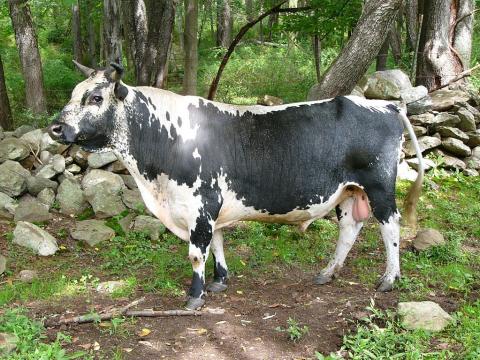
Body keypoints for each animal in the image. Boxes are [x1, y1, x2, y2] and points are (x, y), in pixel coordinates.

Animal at [47, 62, 424, 310]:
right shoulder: (208, 209)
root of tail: (387, 104)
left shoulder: (201, 203)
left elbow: (197, 252)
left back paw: (389, 278)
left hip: (379, 186)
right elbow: (217, 243)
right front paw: (219, 282)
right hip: (348, 190)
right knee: (349, 228)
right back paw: (328, 273)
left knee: (389, 225)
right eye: (74, 94)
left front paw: (195, 296)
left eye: (96, 98)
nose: (55, 128)